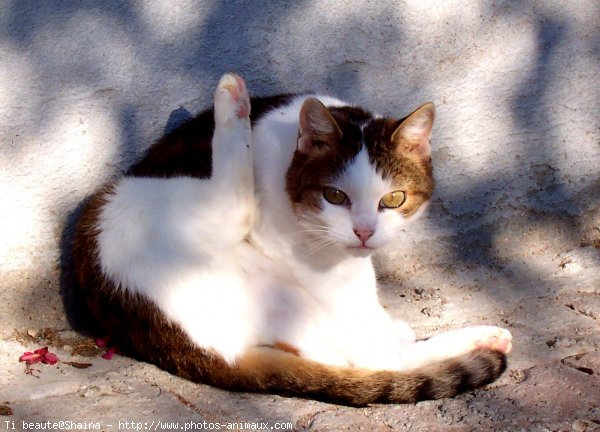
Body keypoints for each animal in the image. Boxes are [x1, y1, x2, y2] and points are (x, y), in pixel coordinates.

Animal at [70, 72, 510, 406]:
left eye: (394, 199)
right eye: (335, 196)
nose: (364, 232)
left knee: (354, 357)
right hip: (149, 208)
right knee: (370, 357)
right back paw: (231, 101)